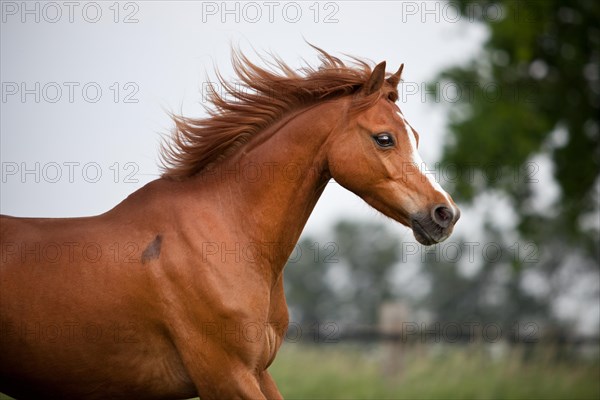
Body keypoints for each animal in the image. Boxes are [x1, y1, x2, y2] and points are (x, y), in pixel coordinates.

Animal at [1, 50, 460, 400]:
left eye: (415, 136)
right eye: (384, 138)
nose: (446, 214)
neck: (227, 237)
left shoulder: (258, 372)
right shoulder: (225, 376)